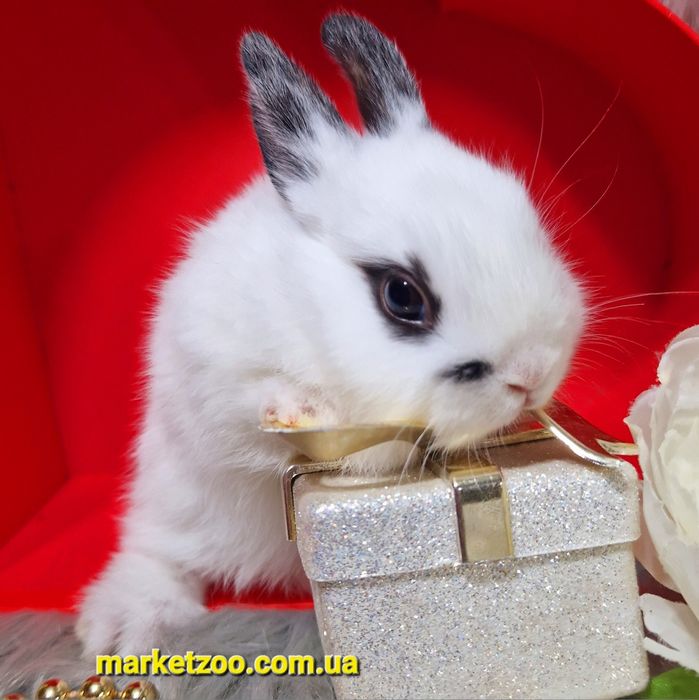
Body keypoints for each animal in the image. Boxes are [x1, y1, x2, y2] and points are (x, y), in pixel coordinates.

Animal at [76, 12, 586, 655]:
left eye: (530, 223)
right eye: (402, 296)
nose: (532, 374)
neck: (310, 308)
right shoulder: (214, 369)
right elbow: (264, 407)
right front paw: (301, 408)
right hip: (176, 498)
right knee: (157, 554)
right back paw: (123, 629)